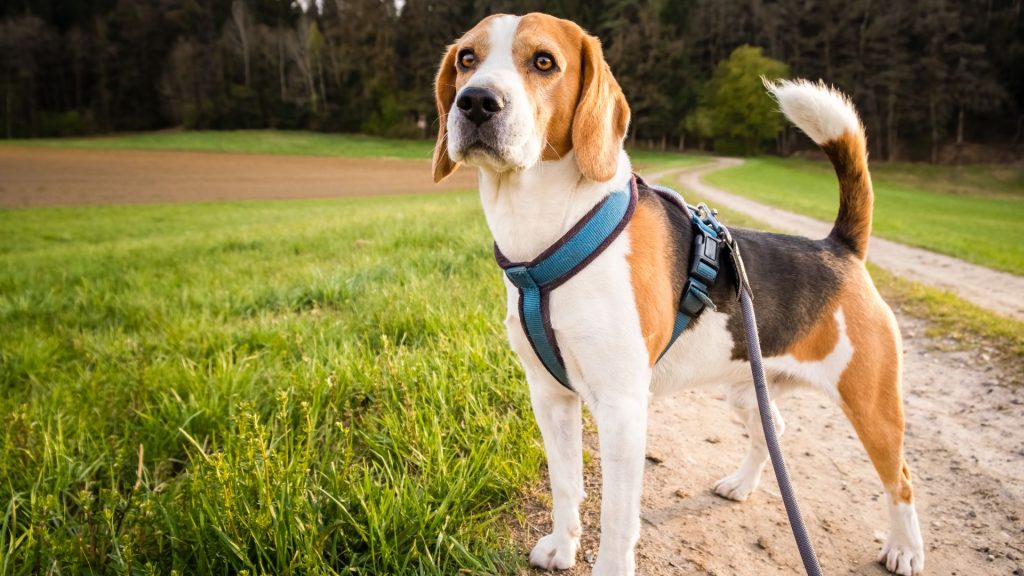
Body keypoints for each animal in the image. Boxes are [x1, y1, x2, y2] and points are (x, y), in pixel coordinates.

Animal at [428, 11, 925, 569]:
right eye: (467, 59)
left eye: (543, 62)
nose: (475, 101)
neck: (545, 237)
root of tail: (839, 247)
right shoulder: (550, 396)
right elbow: (565, 484)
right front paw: (561, 545)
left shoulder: (622, 407)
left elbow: (617, 521)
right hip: (749, 386)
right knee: (772, 430)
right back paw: (742, 484)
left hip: (872, 406)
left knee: (902, 481)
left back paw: (905, 549)